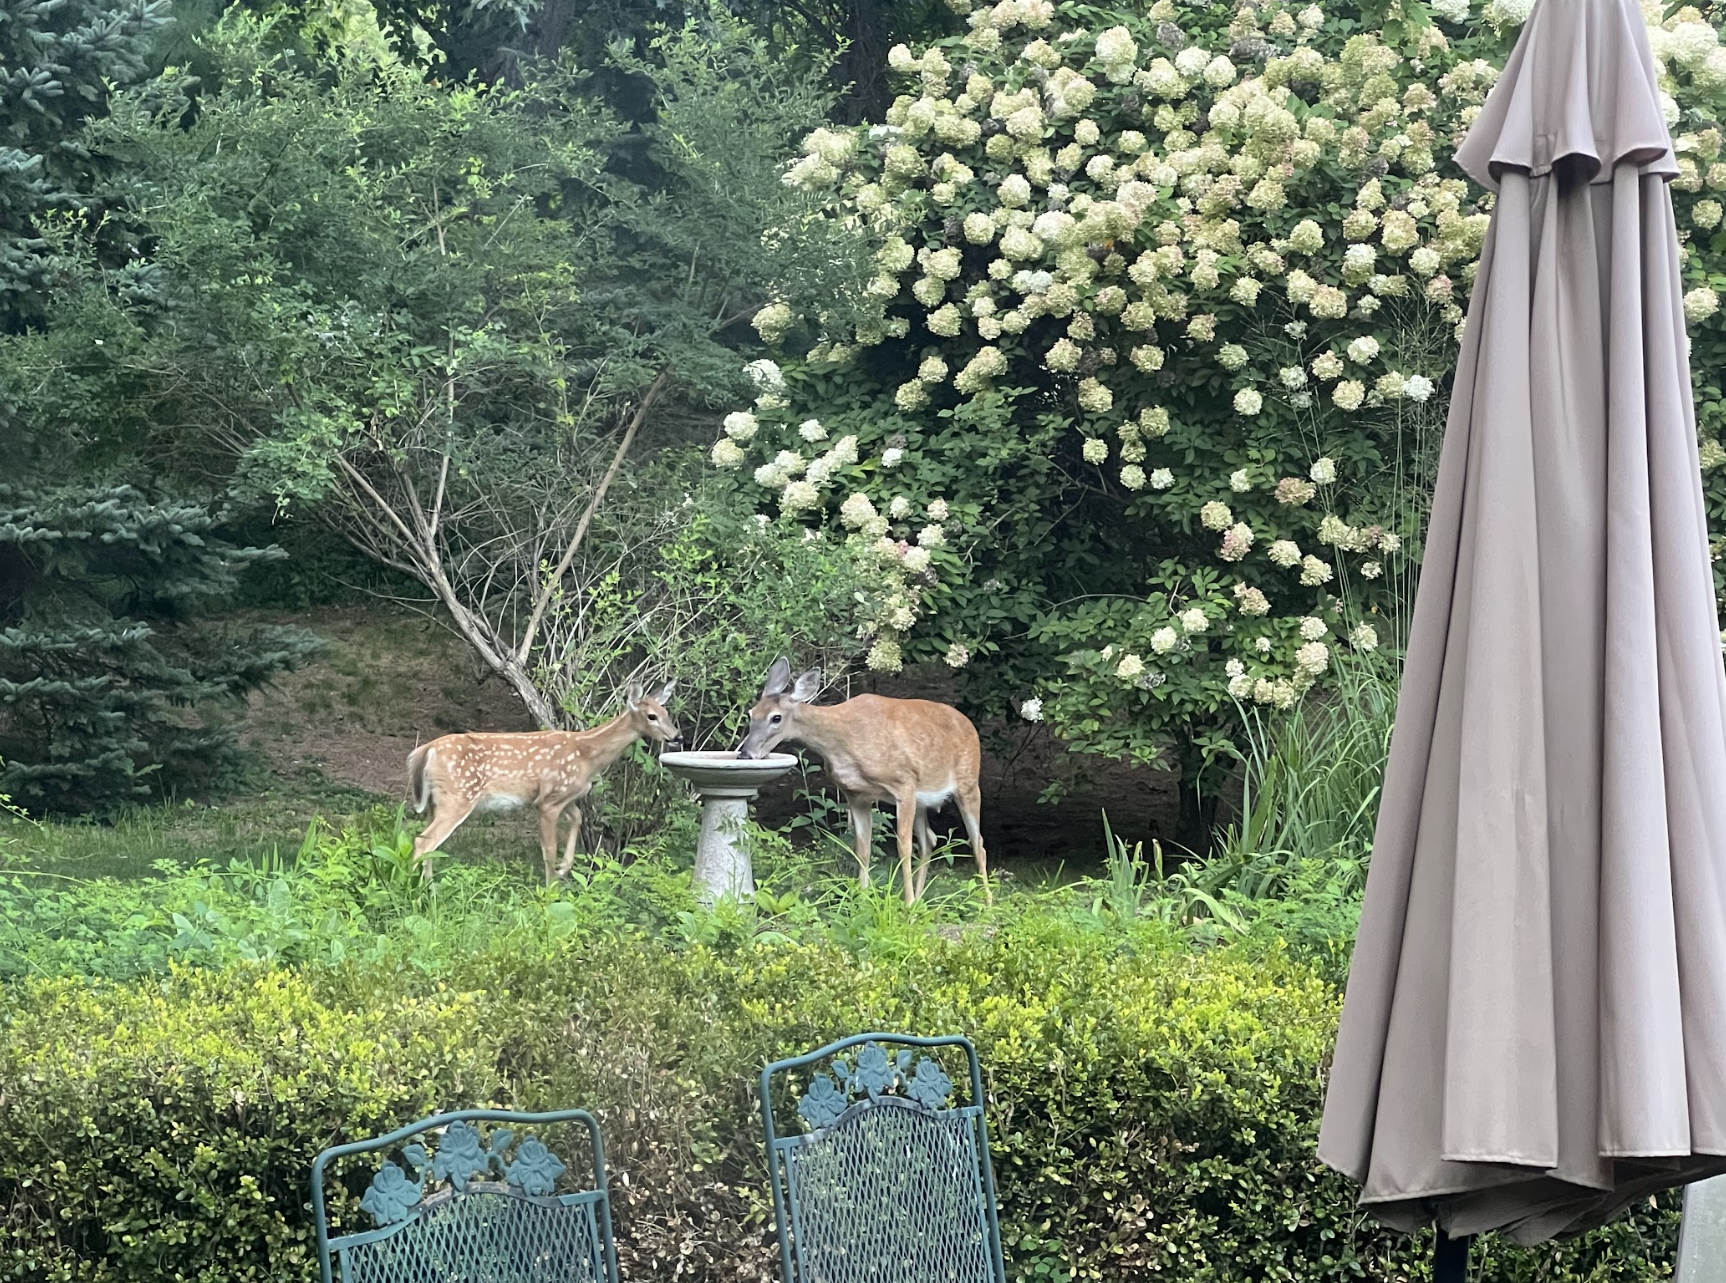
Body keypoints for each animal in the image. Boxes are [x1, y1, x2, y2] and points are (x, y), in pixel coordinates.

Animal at [406, 680, 681, 884]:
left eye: (667, 712)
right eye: (651, 716)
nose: (677, 737)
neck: (587, 754)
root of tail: (426, 750)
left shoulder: (564, 796)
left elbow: (577, 819)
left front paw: (563, 869)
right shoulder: (548, 801)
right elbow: (548, 850)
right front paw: (550, 891)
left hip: (435, 802)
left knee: (427, 841)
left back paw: (426, 885)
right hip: (458, 796)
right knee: (424, 841)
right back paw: (417, 890)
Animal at [737, 657, 988, 905]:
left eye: (776, 717)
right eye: (751, 713)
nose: (745, 754)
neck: (843, 742)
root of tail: (970, 726)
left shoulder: (903, 783)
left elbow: (903, 847)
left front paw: (905, 905)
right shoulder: (856, 795)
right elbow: (862, 848)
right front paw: (862, 898)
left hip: (968, 783)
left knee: (978, 843)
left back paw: (985, 904)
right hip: (923, 800)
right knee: (929, 840)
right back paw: (919, 901)